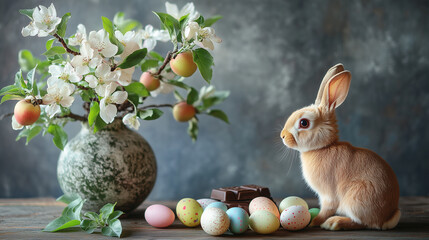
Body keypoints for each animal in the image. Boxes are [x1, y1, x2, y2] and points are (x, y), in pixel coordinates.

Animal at [280, 63, 400, 231]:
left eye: (304, 123)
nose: (282, 136)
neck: (322, 148)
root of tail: (387, 217)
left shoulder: (328, 195)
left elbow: (326, 209)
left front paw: (314, 221)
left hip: (356, 198)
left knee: (363, 223)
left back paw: (335, 223)